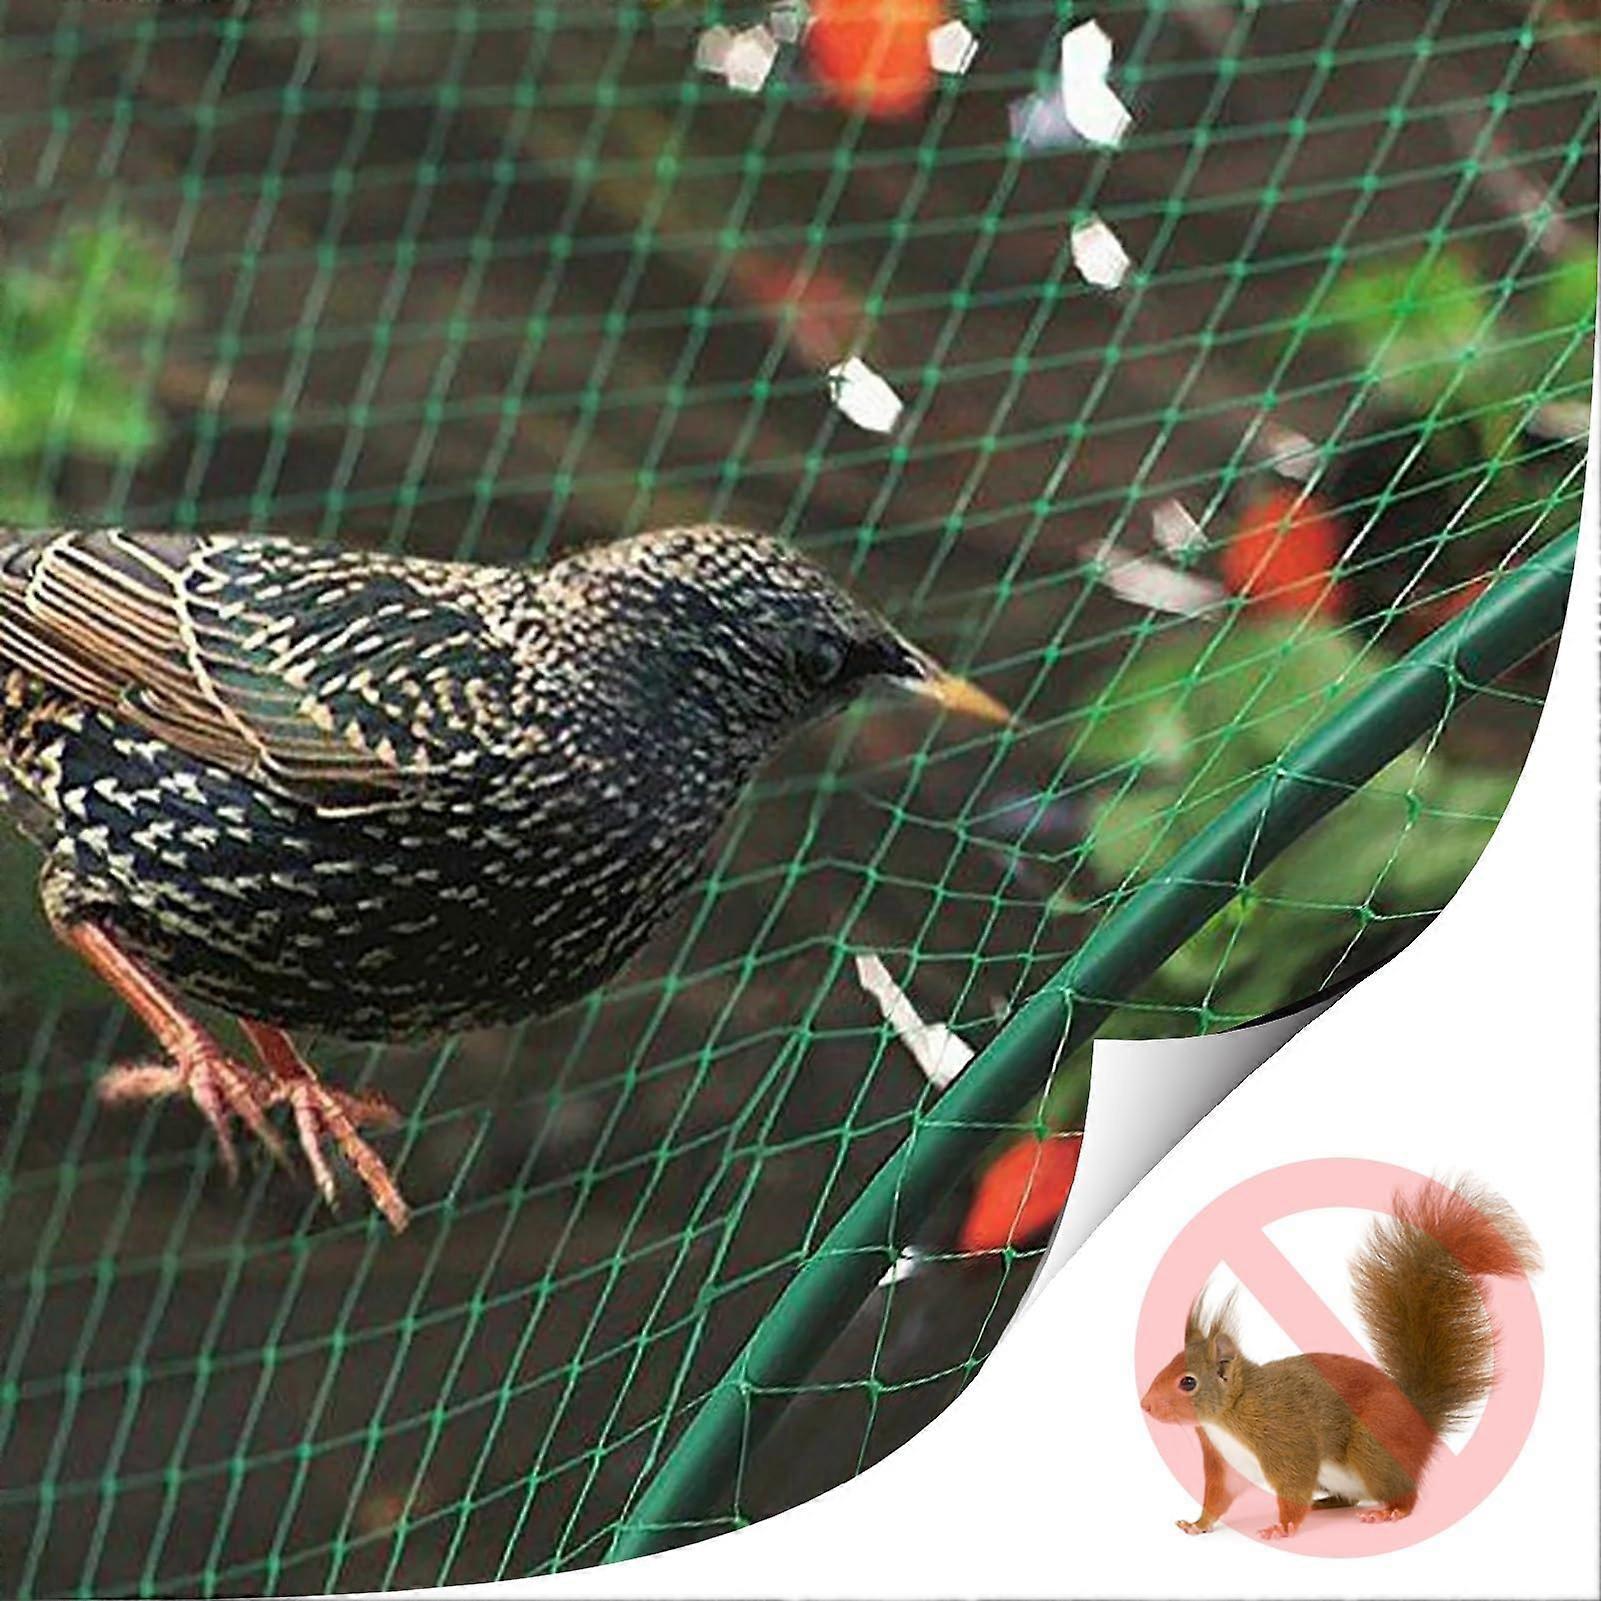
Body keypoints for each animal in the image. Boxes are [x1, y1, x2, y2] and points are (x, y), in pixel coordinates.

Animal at [1139, 1177, 1540, 1541]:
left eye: (1187, 1382)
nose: (1145, 1405)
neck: (1230, 1413)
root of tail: (1420, 1422)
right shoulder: (1223, 1462)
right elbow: (1218, 1497)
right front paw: (1197, 1523)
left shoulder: (1284, 1436)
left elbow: (1294, 1483)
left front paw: (1283, 1527)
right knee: (1351, 1498)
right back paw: (1328, 1503)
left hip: (1374, 1445)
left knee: (1405, 1494)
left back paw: (1390, 1511)